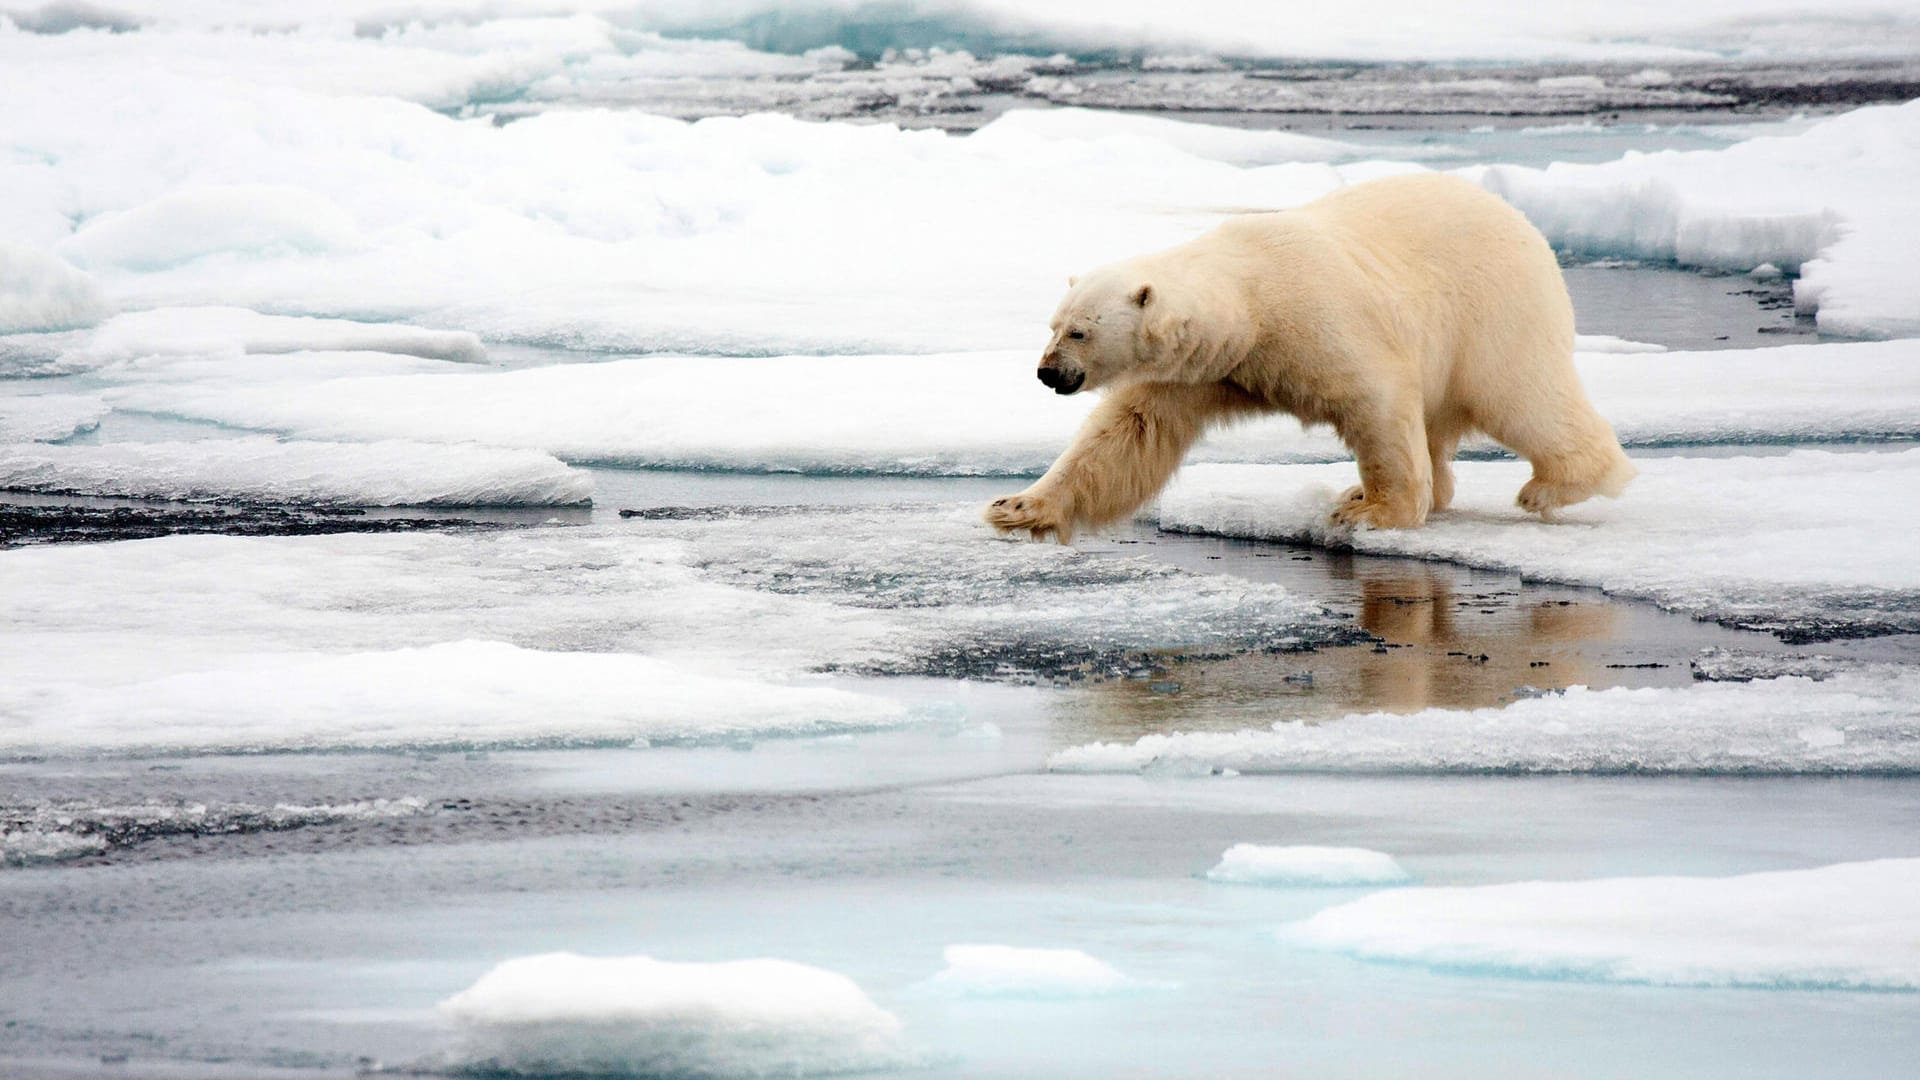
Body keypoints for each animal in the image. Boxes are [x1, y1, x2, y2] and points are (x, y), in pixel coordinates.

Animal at [990, 172, 1635, 541]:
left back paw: (1549, 487)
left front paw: (1372, 514)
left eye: (1079, 332)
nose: (1047, 372)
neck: (1250, 305)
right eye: (1053, 325)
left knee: (1522, 396)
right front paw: (1018, 507)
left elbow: (1378, 403)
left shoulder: (1319, 321)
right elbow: (1127, 435)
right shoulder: (1202, 369)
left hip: (1492, 312)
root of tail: (1526, 225)